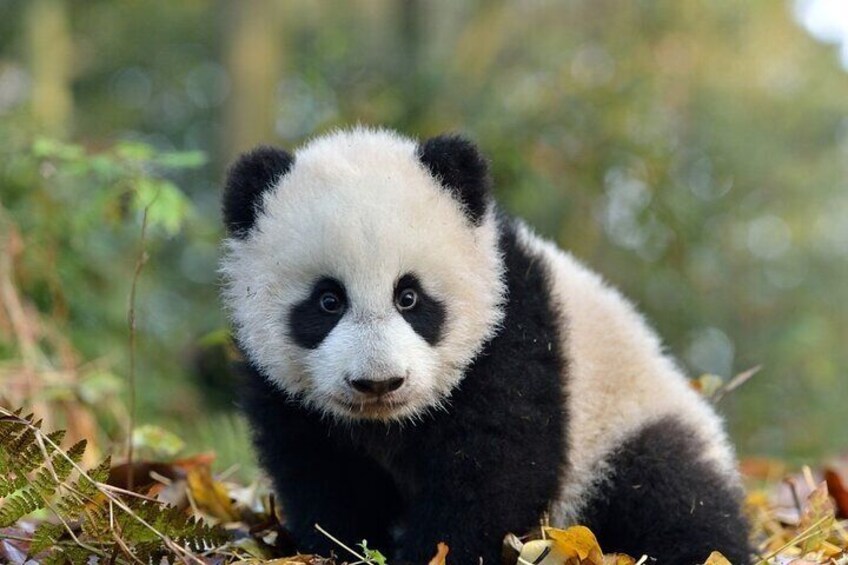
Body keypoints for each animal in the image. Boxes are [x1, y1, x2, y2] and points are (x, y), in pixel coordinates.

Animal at [220, 127, 751, 564]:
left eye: (409, 296)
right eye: (328, 301)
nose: (379, 383)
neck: (388, 423)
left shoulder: (511, 340)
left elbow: (492, 472)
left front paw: (436, 553)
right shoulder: (288, 394)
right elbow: (323, 472)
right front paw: (344, 548)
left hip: (625, 426)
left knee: (672, 497)